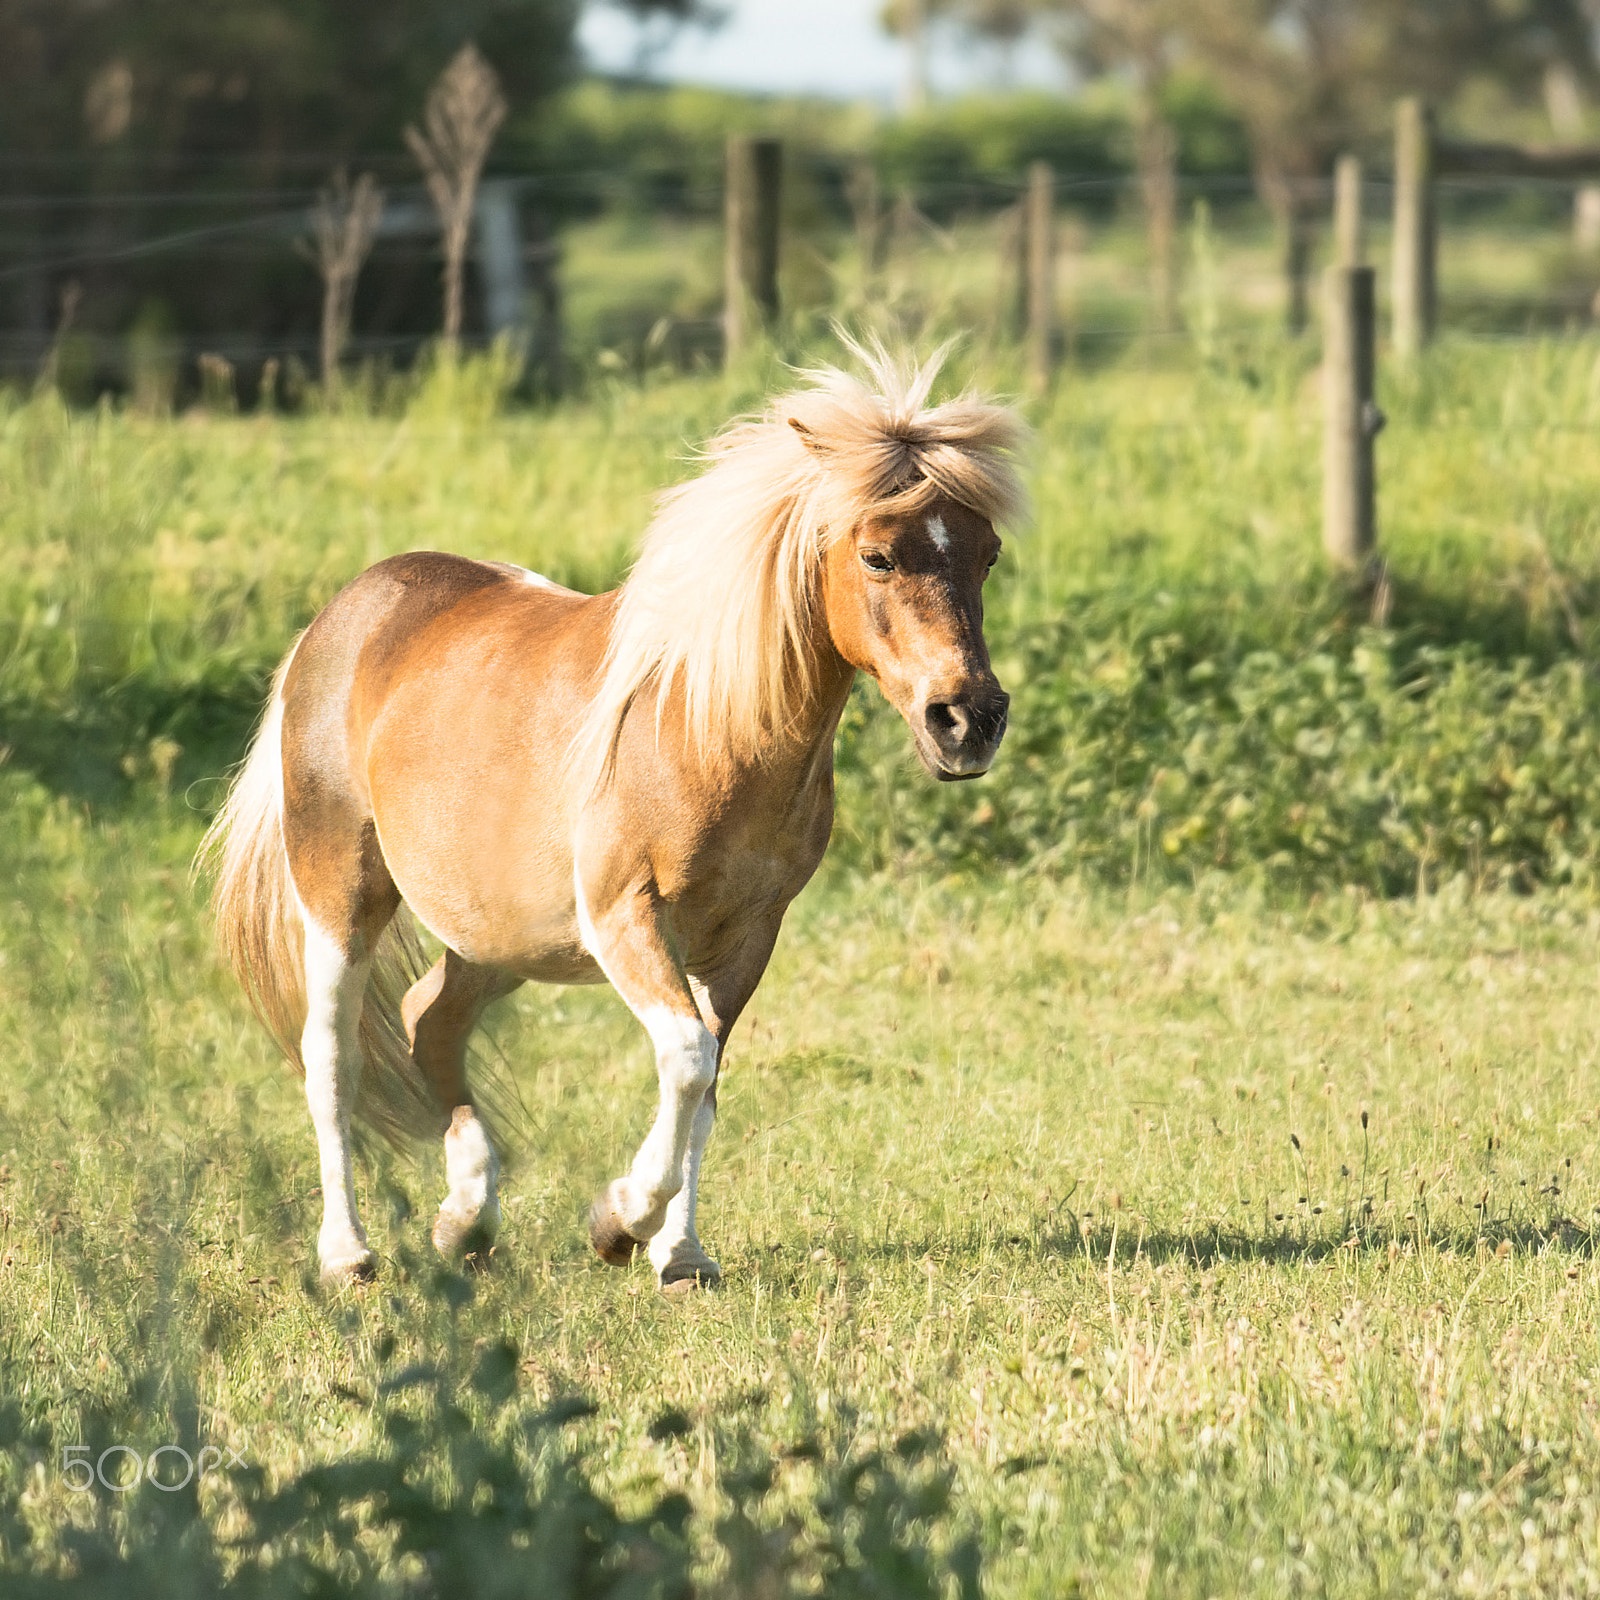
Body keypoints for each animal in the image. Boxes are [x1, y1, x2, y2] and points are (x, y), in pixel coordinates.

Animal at [200, 345, 1028, 1292]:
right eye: (879, 556)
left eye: (988, 555)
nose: (968, 720)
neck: (703, 726)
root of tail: (345, 615)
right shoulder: (625, 917)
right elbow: (687, 1060)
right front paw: (619, 1222)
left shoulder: (745, 936)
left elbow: (705, 1088)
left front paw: (683, 1257)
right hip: (341, 894)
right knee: (331, 1056)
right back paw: (347, 1254)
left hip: (500, 937)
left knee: (427, 1020)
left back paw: (466, 1223)